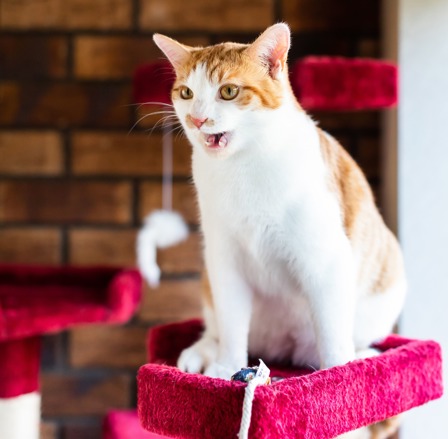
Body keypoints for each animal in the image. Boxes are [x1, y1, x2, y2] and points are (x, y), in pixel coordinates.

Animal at [153, 20, 406, 402]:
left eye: (228, 91)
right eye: (186, 93)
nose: (197, 119)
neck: (243, 167)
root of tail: (287, 350)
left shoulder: (325, 259)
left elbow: (333, 336)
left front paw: (340, 379)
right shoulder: (224, 259)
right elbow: (231, 323)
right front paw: (225, 368)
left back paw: (362, 354)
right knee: (217, 327)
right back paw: (200, 352)